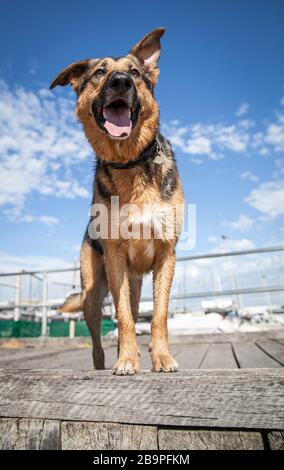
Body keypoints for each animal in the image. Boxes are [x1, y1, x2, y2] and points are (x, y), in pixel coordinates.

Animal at [50, 28, 184, 374]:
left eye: (135, 73)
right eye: (99, 72)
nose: (121, 81)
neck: (130, 162)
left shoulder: (166, 254)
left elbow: (159, 315)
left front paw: (161, 356)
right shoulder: (114, 259)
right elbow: (123, 318)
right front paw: (126, 359)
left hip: (133, 283)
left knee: (137, 315)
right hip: (92, 295)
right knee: (99, 341)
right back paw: (106, 362)